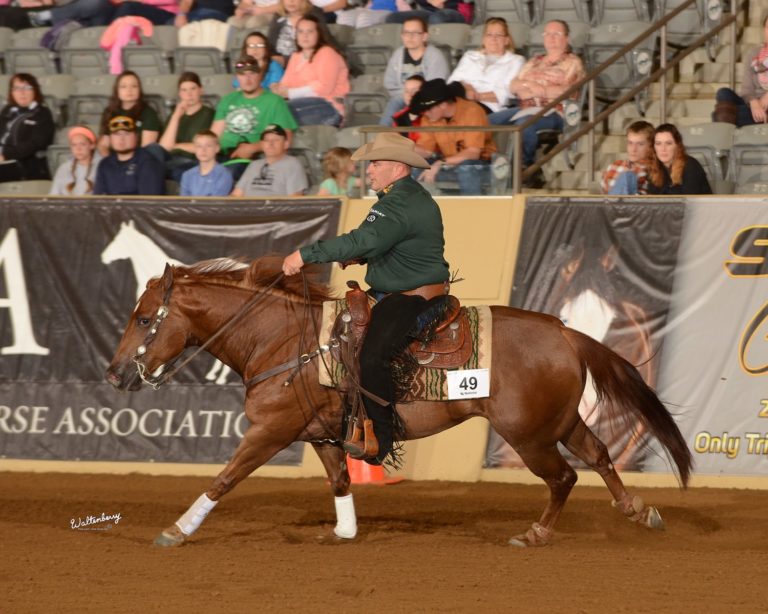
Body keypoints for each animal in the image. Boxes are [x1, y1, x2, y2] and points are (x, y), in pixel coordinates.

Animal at [106, 258, 688, 552]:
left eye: (143, 317)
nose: (114, 373)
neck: (282, 340)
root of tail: (565, 332)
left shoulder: (270, 430)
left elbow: (224, 478)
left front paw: (177, 531)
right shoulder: (321, 434)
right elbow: (341, 480)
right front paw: (344, 531)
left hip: (530, 434)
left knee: (564, 477)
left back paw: (536, 534)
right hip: (560, 422)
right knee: (599, 456)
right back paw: (640, 512)